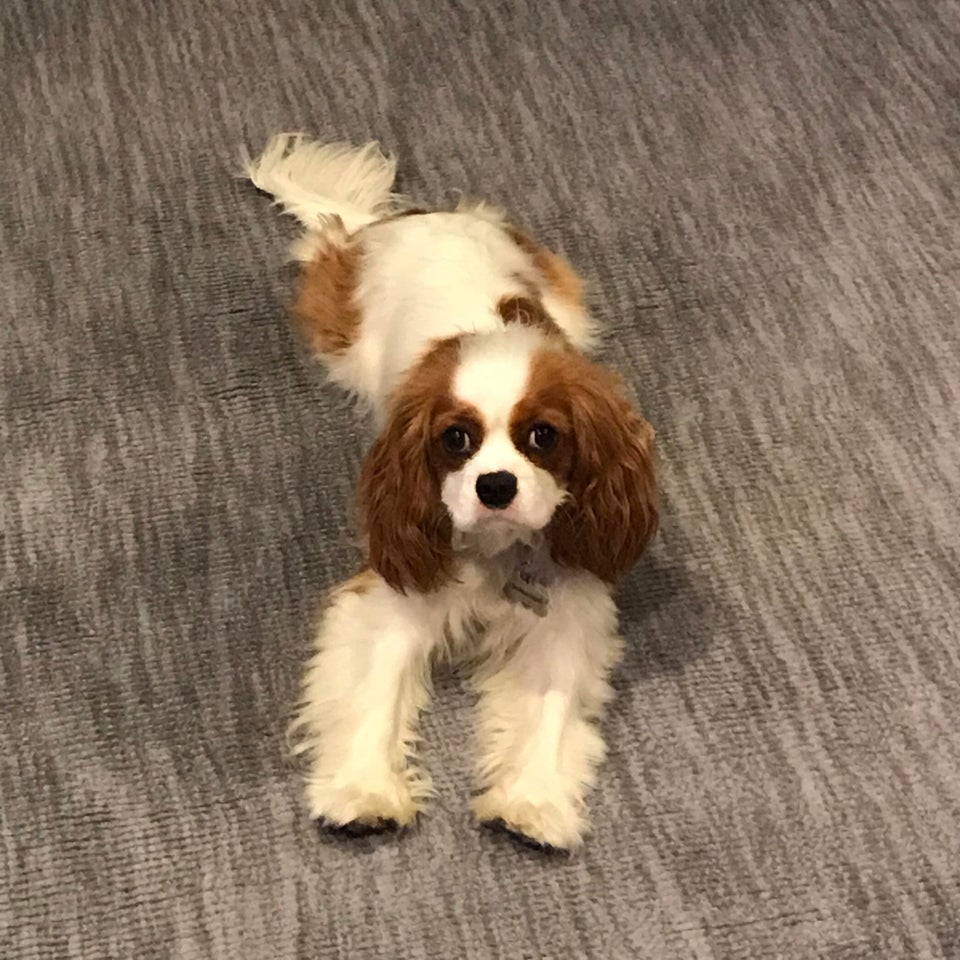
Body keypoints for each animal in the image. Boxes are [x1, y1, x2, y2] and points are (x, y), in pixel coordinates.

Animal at [244, 135, 656, 848]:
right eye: (455, 439)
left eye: (543, 436)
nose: (495, 485)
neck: (497, 552)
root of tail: (399, 221)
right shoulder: (389, 597)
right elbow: (377, 692)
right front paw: (364, 791)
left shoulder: (568, 611)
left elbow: (550, 705)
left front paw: (531, 800)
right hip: (339, 338)